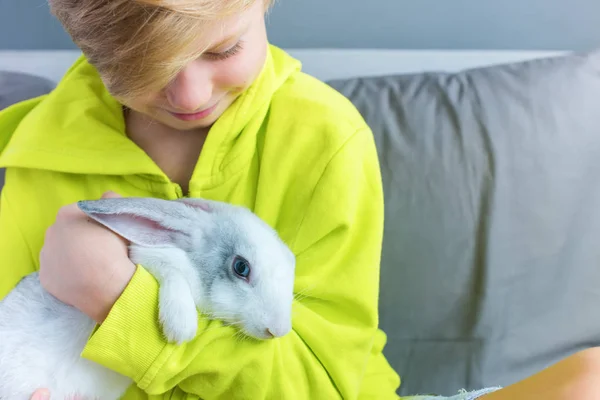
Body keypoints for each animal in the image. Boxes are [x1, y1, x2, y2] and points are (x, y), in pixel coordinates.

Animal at [0, 197, 296, 400]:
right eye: (241, 267)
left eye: (291, 260)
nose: (278, 329)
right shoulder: (147, 257)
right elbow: (171, 271)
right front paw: (180, 326)